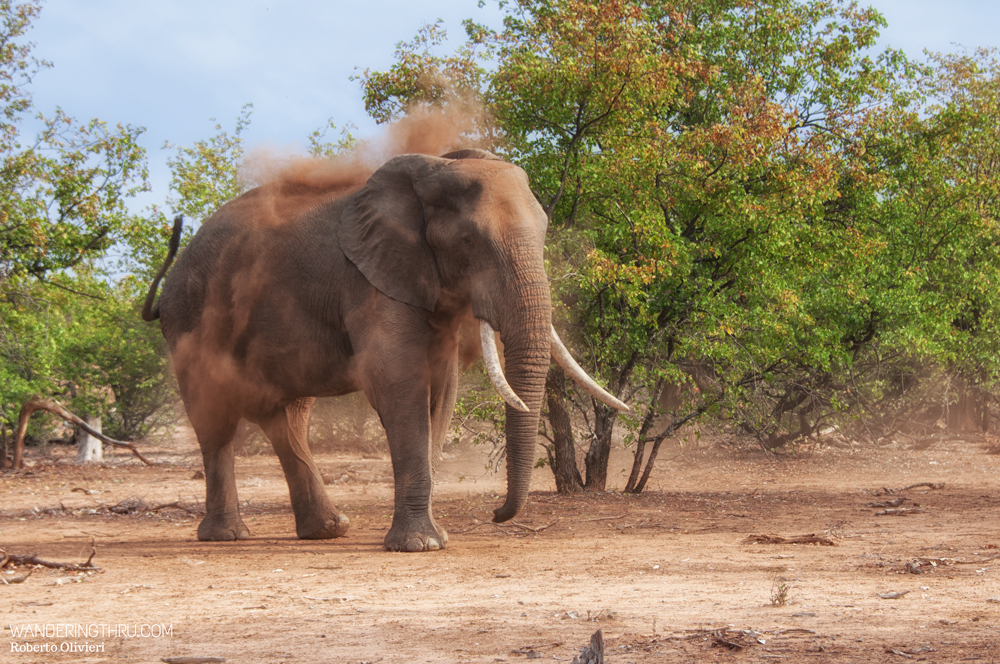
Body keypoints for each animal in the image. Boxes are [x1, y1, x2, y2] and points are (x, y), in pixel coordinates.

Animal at [142, 148, 627, 552]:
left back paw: (328, 530)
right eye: (469, 241)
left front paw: (435, 538)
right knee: (216, 419)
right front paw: (420, 545)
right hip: (190, 320)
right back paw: (227, 536)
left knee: (288, 417)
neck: (433, 170)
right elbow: (400, 384)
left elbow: (441, 392)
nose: (495, 513)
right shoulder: (371, 280)